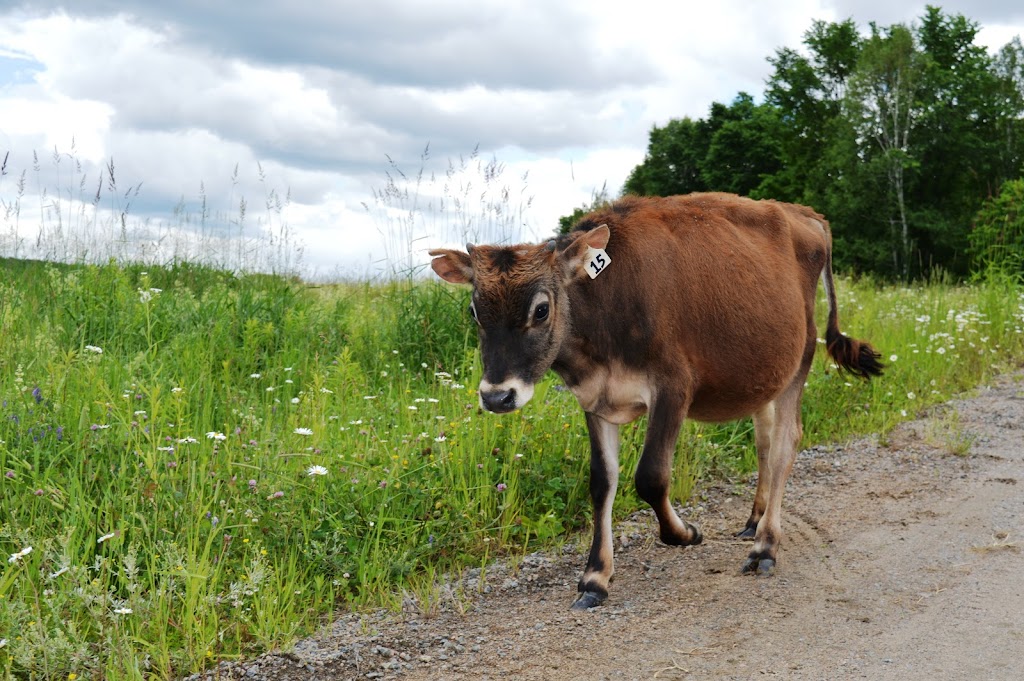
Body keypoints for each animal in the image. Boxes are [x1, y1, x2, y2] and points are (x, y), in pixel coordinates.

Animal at [428, 192, 884, 610]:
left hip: (800, 356)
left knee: (786, 445)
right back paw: (753, 522)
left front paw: (684, 534)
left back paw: (765, 546)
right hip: (764, 373)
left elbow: (650, 476)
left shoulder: (674, 386)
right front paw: (595, 577)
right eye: (473, 311)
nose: (497, 395)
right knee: (765, 443)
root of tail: (803, 212)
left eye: (541, 310)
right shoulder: (594, 398)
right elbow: (602, 482)